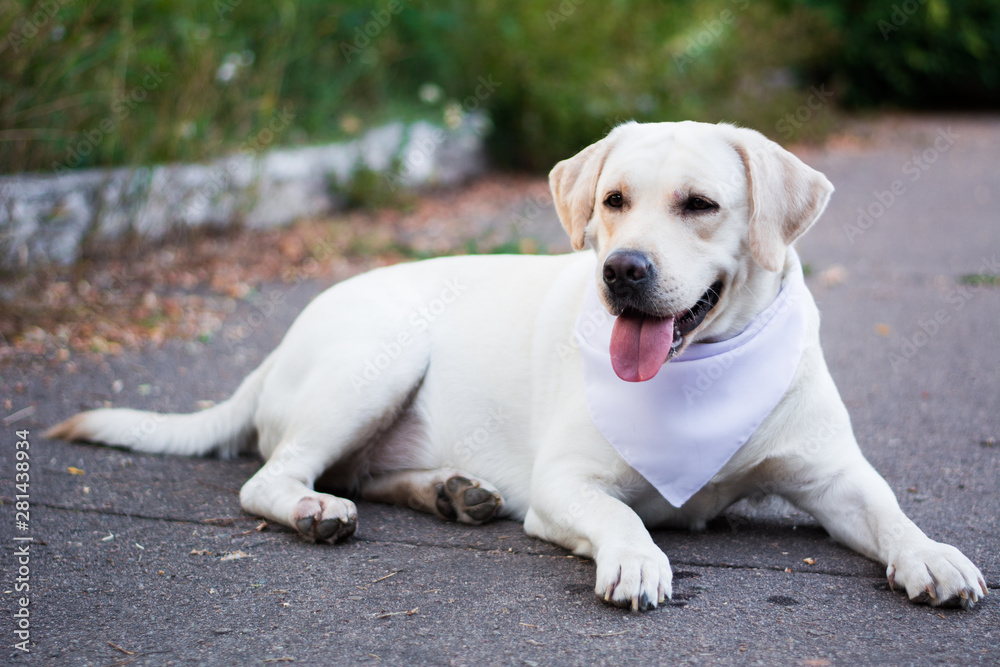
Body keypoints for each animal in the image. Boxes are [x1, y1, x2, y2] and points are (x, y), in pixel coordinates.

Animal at [47, 118, 984, 612]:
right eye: (613, 202)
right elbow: (622, 515)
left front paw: (933, 554)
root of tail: (281, 339)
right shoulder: (568, 482)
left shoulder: (834, 475)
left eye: (700, 205)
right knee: (274, 476)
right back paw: (318, 509)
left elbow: (890, 511)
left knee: (361, 471)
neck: (705, 370)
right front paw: (638, 556)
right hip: (376, 362)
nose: (623, 270)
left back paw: (450, 491)